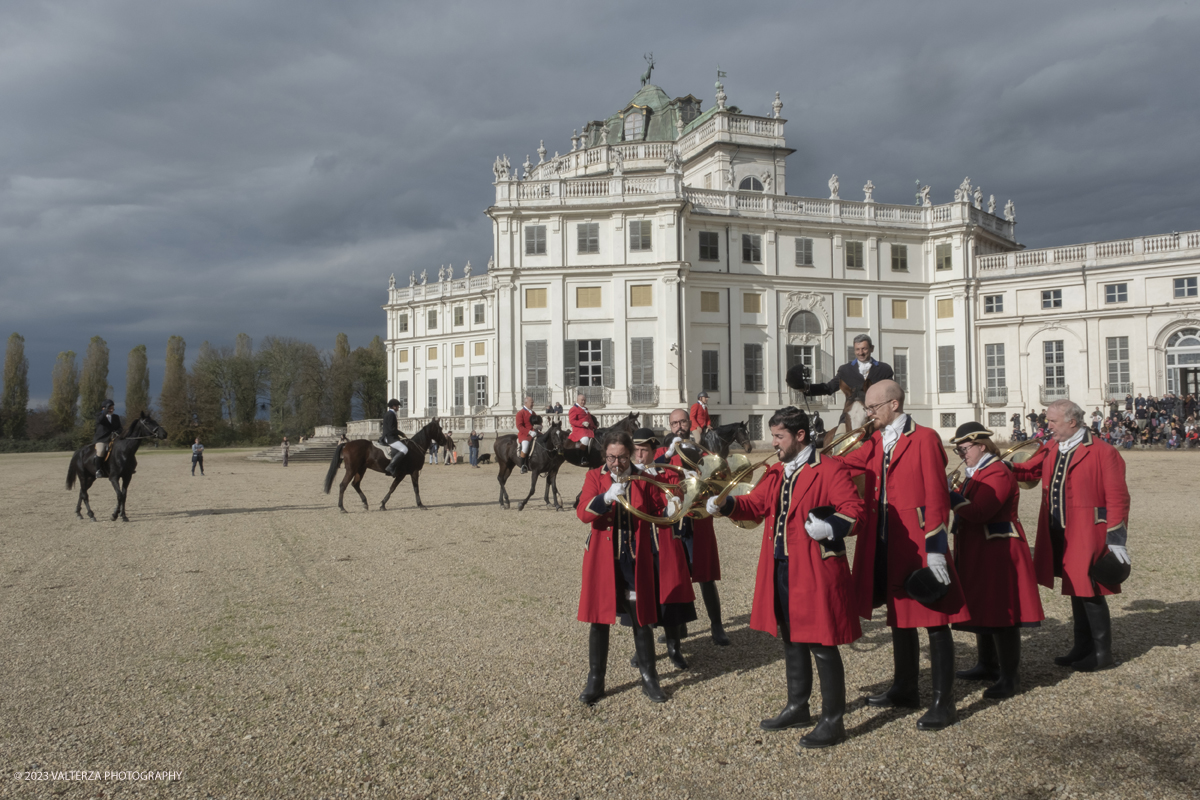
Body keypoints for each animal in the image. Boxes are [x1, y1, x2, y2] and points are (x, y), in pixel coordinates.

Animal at [324, 419, 453, 513]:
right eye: (440, 429)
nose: (444, 441)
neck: (416, 447)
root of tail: (346, 444)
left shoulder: (403, 474)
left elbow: (393, 488)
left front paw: (382, 504)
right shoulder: (412, 472)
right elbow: (413, 488)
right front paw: (420, 504)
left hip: (361, 469)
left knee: (355, 484)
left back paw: (365, 503)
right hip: (351, 470)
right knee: (343, 485)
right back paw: (342, 508)